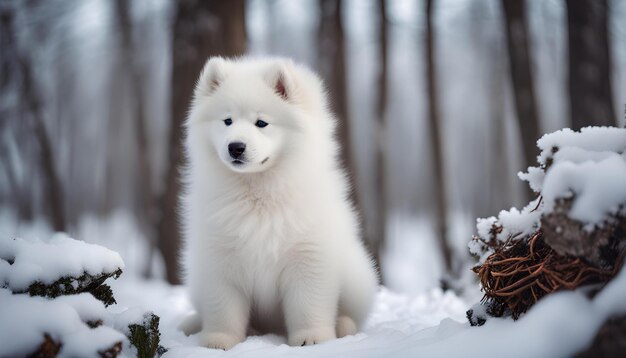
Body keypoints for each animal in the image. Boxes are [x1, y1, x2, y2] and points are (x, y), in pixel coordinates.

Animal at [178, 56, 378, 350]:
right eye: (227, 121)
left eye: (261, 123)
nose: (235, 146)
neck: (259, 192)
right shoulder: (219, 258)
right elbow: (223, 309)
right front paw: (219, 341)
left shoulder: (307, 256)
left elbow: (307, 305)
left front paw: (311, 338)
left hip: (357, 276)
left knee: (351, 312)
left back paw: (344, 326)